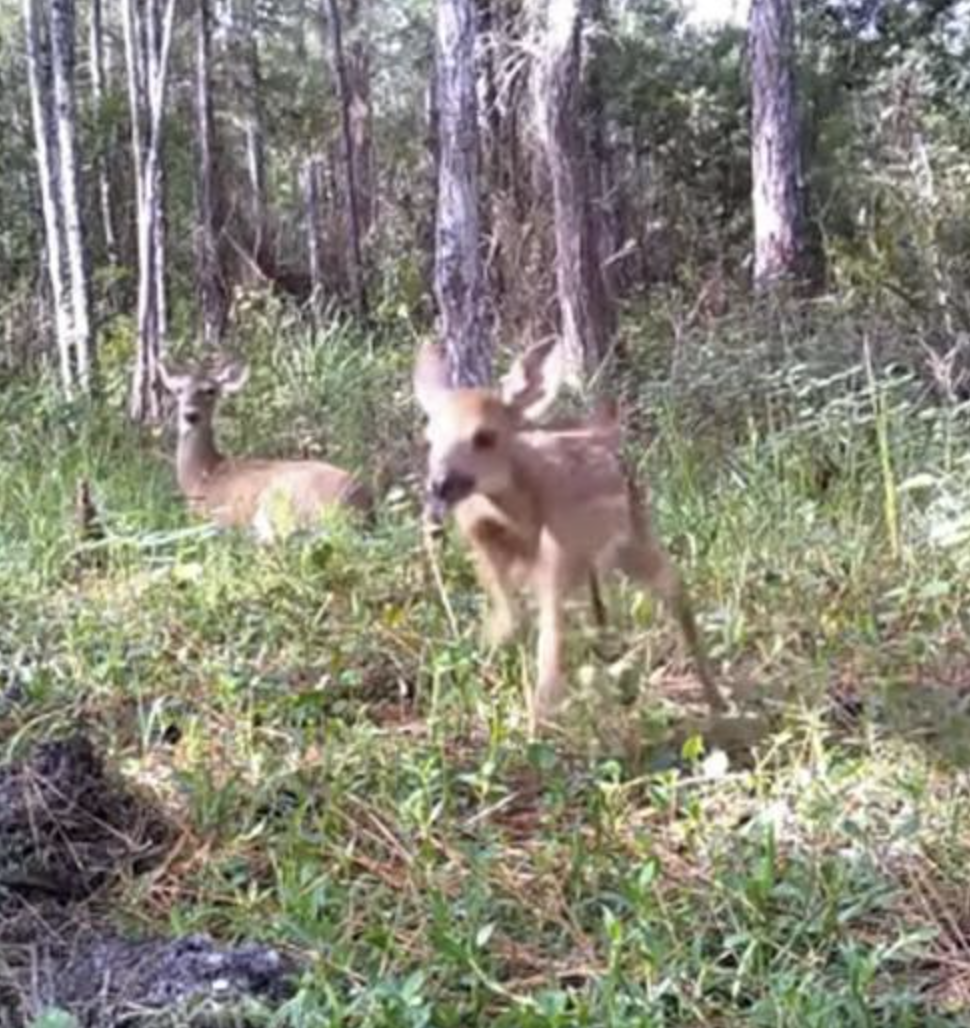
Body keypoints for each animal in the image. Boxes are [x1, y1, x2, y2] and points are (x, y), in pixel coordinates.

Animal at [413, 340, 726, 733]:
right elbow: (513, 617)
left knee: (673, 589)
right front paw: (485, 654)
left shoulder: (558, 550)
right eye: (430, 437)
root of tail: (604, 433)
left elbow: (549, 640)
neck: (517, 510)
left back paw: (717, 702)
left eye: (484, 435)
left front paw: (535, 725)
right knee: (601, 612)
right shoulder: (483, 541)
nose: (439, 484)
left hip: (634, 537)